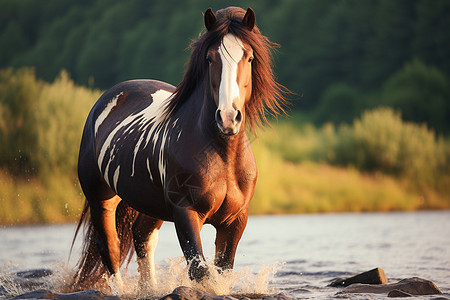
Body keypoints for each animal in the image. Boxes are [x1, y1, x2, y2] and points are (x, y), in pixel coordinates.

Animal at [71, 6, 288, 292]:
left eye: (249, 57)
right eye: (209, 58)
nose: (228, 117)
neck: (223, 156)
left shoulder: (235, 220)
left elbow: (224, 270)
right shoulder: (186, 213)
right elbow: (200, 271)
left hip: (149, 203)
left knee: (142, 237)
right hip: (101, 198)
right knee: (110, 247)